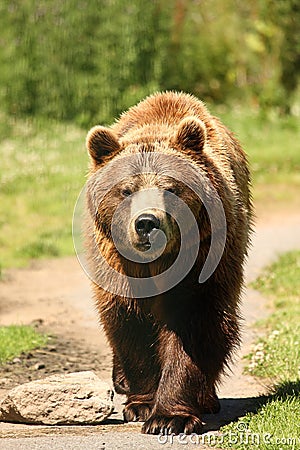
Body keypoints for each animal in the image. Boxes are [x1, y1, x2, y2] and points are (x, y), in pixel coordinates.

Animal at [83, 92, 252, 436]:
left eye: (171, 188)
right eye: (126, 189)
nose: (147, 222)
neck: (156, 264)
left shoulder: (203, 259)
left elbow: (194, 324)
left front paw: (170, 417)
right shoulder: (118, 268)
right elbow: (130, 323)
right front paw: (142, 405)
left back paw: (207, 399)